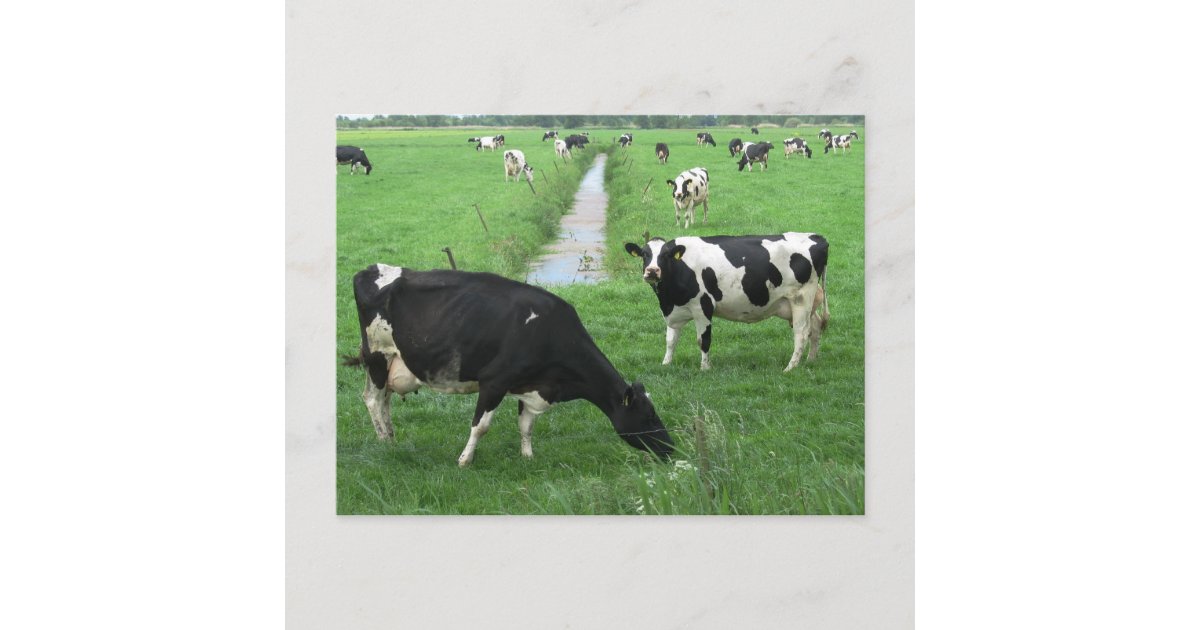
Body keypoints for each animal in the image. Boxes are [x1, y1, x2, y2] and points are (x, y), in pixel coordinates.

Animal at [347, 265, 675, 465]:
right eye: (648, 416)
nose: (671, 448)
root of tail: (370, 269)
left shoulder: (532, 386)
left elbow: (526, 425)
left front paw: (528, 457)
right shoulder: (494, 381)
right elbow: (480, 426)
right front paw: (464, 460)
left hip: (392, 360)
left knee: (384, 400)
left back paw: (391, 437)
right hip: (378, 355)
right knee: (373, 399)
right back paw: (384, 441)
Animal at [622, 233, 830, 372]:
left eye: (665, 255)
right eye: (644, 254)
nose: (652, 271)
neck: (669, 299)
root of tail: (816, 237)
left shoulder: (702, 306)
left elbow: (703, 340)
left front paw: (705, 368)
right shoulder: (674, 311)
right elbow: (670, 340)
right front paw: (666, 364)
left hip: (801, 298)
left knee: (801, 333)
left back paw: (790, 367)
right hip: (807, 303)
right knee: (815, 326)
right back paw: (811, 360)